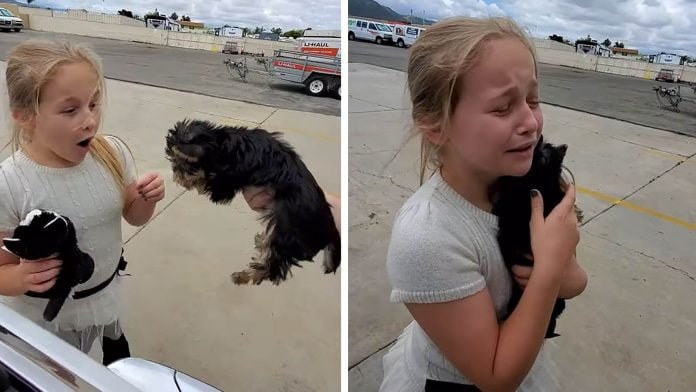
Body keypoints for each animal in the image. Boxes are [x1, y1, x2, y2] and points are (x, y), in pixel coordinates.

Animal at [163, 118, 338, 284]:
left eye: (182, 163)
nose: (175, 174)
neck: (223, 143)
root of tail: (330, 229)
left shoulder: (227, 180)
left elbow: (211, 183)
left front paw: (194, 180)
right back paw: (261, 243)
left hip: (286, 231)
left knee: (272, 268)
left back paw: (244, 275)